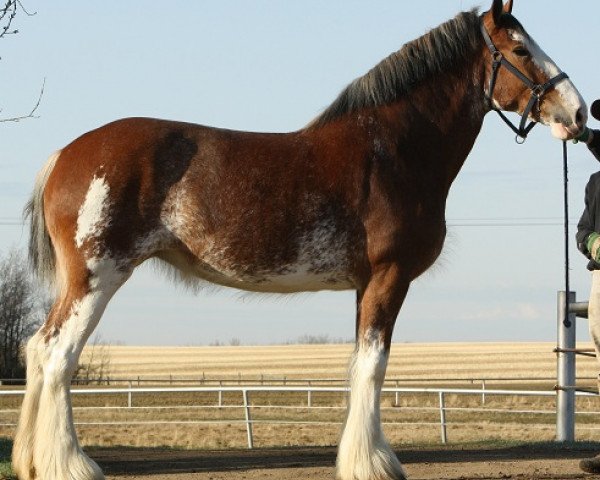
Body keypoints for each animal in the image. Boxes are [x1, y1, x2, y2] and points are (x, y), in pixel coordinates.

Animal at [14, 0, 584, 480]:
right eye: (520, 50)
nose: (578, 114)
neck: (391, 149)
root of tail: (66, 155)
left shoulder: (364, 285)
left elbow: (358, 367)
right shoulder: (389, 276)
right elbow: (374, 367)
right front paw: (373, 464)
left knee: (38, 349)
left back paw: (31, 461)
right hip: (97, 277)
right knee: (59, 355)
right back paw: (73, 464)